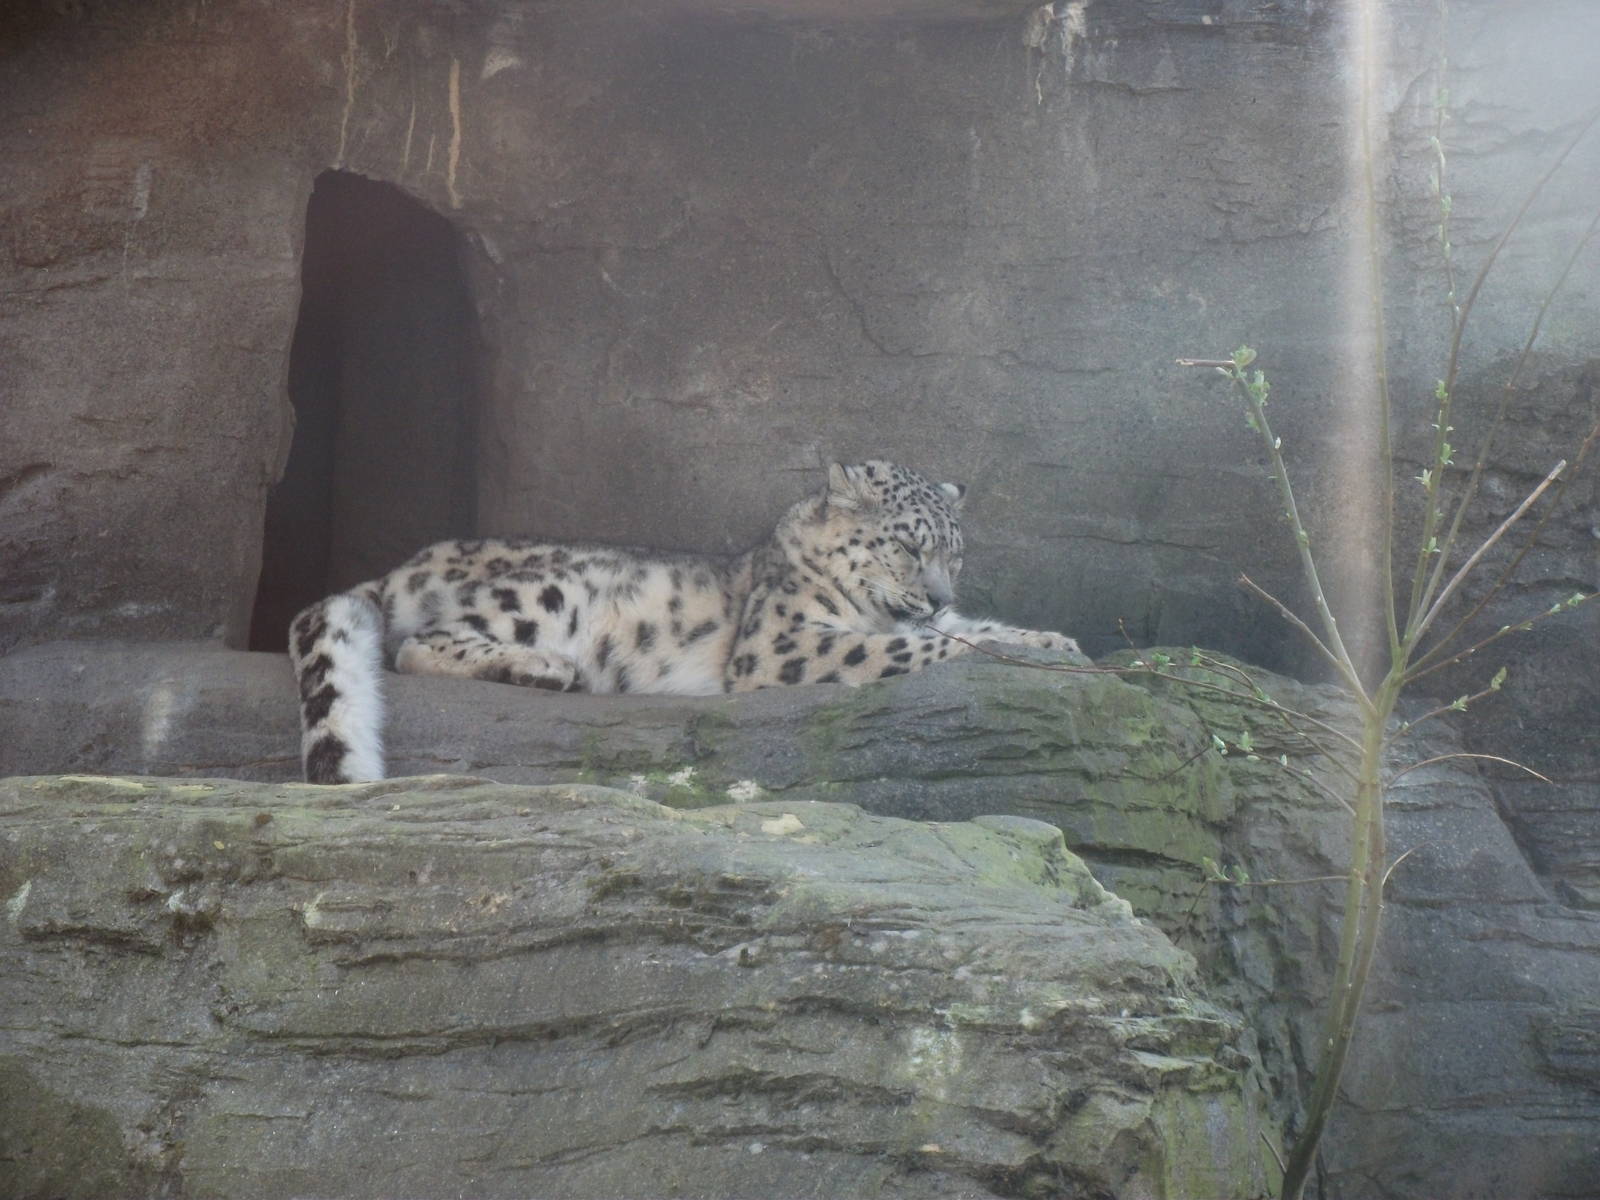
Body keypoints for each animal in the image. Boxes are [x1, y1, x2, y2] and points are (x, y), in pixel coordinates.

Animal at [289, 460, 1080, 783]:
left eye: (956, 553)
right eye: (910, 545)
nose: (940, 598)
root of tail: (408, 564)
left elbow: (978, 633)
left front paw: (1054, 642)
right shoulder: (781, 644)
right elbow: (898, 647)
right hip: (548, 593)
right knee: (416, 642)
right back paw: (545, 667)